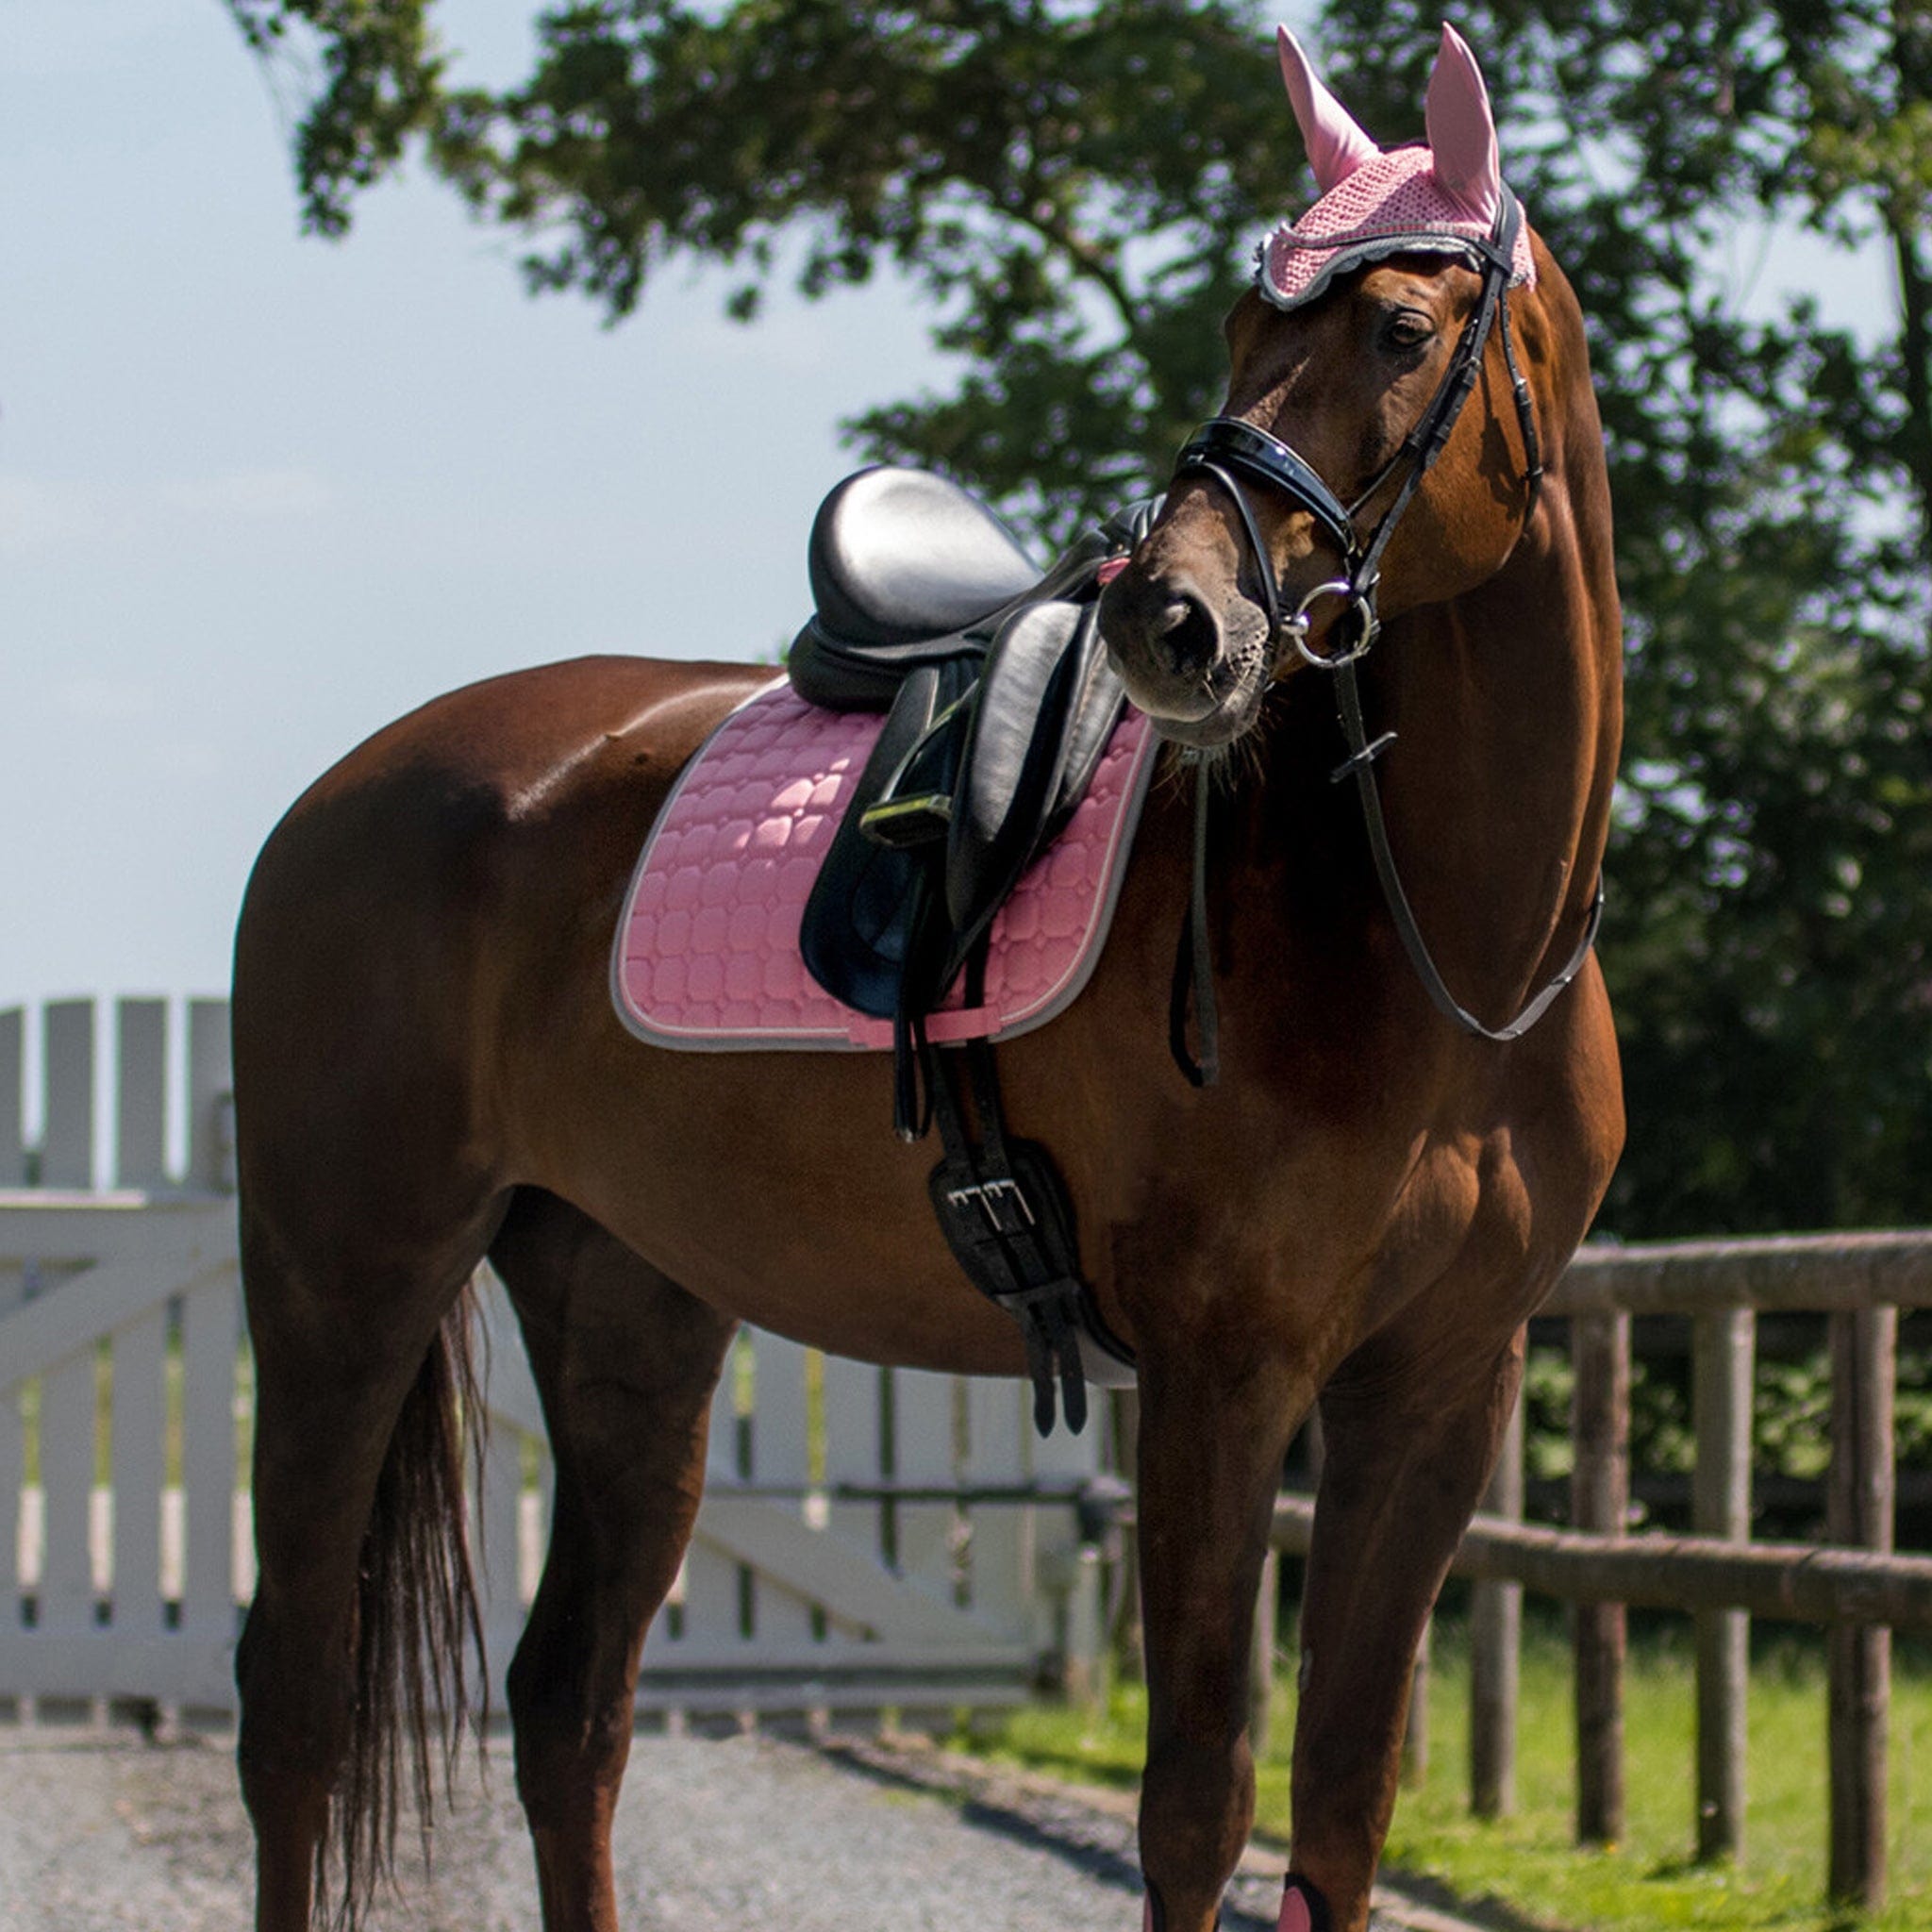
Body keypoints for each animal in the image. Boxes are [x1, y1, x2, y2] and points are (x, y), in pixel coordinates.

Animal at [229, 26, 1615, 1932]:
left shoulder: (1436, 1393)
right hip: (344, 1285)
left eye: (1402, 330)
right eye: (1237, 333)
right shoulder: (1221, 1377)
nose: (1172, 622)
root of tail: (341, 795)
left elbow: (1340, 1807)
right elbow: (1199, 1803)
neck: (1438, 949)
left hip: (627, 1308)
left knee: (569, 1706)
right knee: (297, 1701)